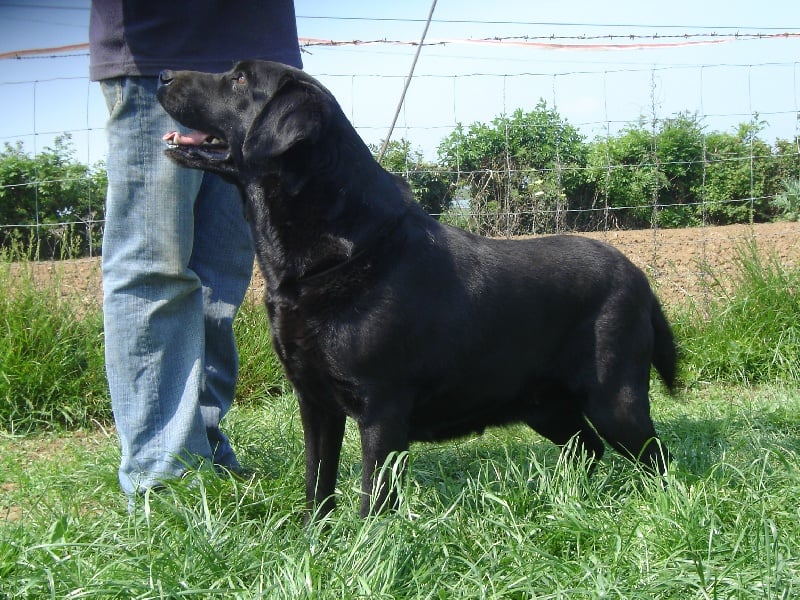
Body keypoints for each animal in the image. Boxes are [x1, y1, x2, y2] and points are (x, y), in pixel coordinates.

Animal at [157, 60, 677, 518]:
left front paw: (364, 552)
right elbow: (317, 482)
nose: (161, 74)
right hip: (544, 405)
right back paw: (570, 500)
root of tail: (637, 274)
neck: (341, 253)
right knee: (587, 449)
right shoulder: (316, 402)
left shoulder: (382, 409)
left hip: (614, 400)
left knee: (656, 458)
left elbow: (374, 497)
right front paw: (313, 540)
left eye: (240, 79)